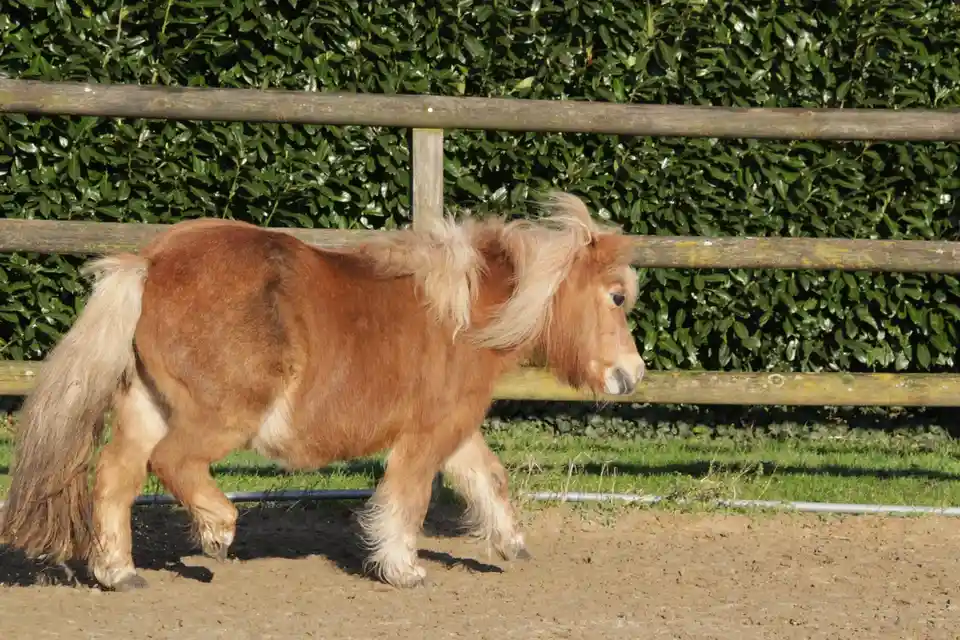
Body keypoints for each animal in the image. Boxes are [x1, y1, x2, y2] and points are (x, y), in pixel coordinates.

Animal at [0, 191, 645, 591]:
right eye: (616, 297)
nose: (631, 375)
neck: (465, 315)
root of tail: (149, 264)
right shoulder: (430, 432)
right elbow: (407, 498)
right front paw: (403, 569)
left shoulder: (454, 428)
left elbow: (488, 478)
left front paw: (511, 543)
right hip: (222, 416)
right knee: (173, 463)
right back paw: (218, 529)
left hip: (148, 406)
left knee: (115, 478)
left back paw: (120, 573)